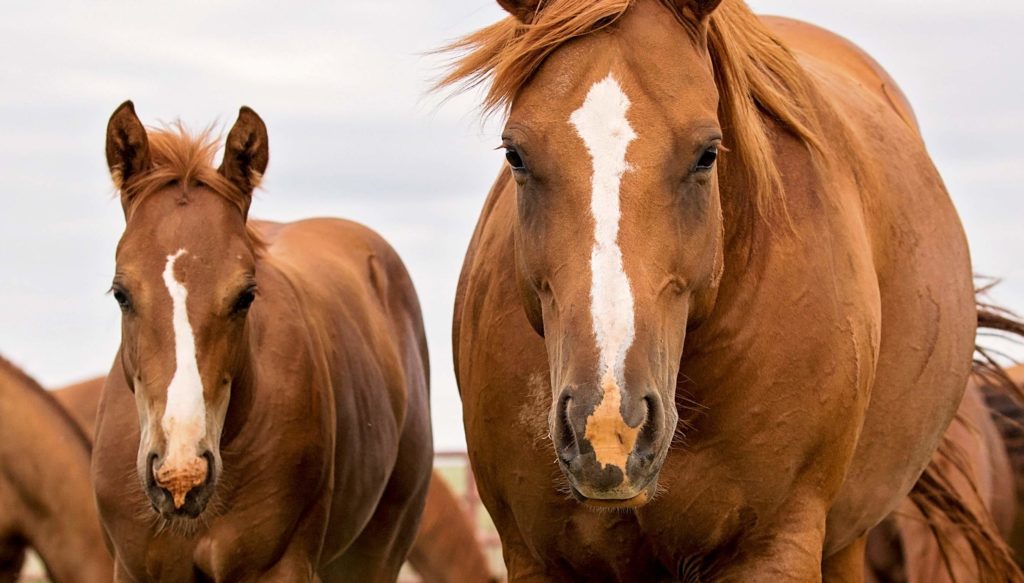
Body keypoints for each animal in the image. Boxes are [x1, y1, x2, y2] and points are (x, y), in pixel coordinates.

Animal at [91, 102, 433, 581]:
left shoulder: (279, 566)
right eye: (121, 293)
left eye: (246, 295)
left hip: (377, 551)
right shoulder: (135, 569)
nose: (181, 474)